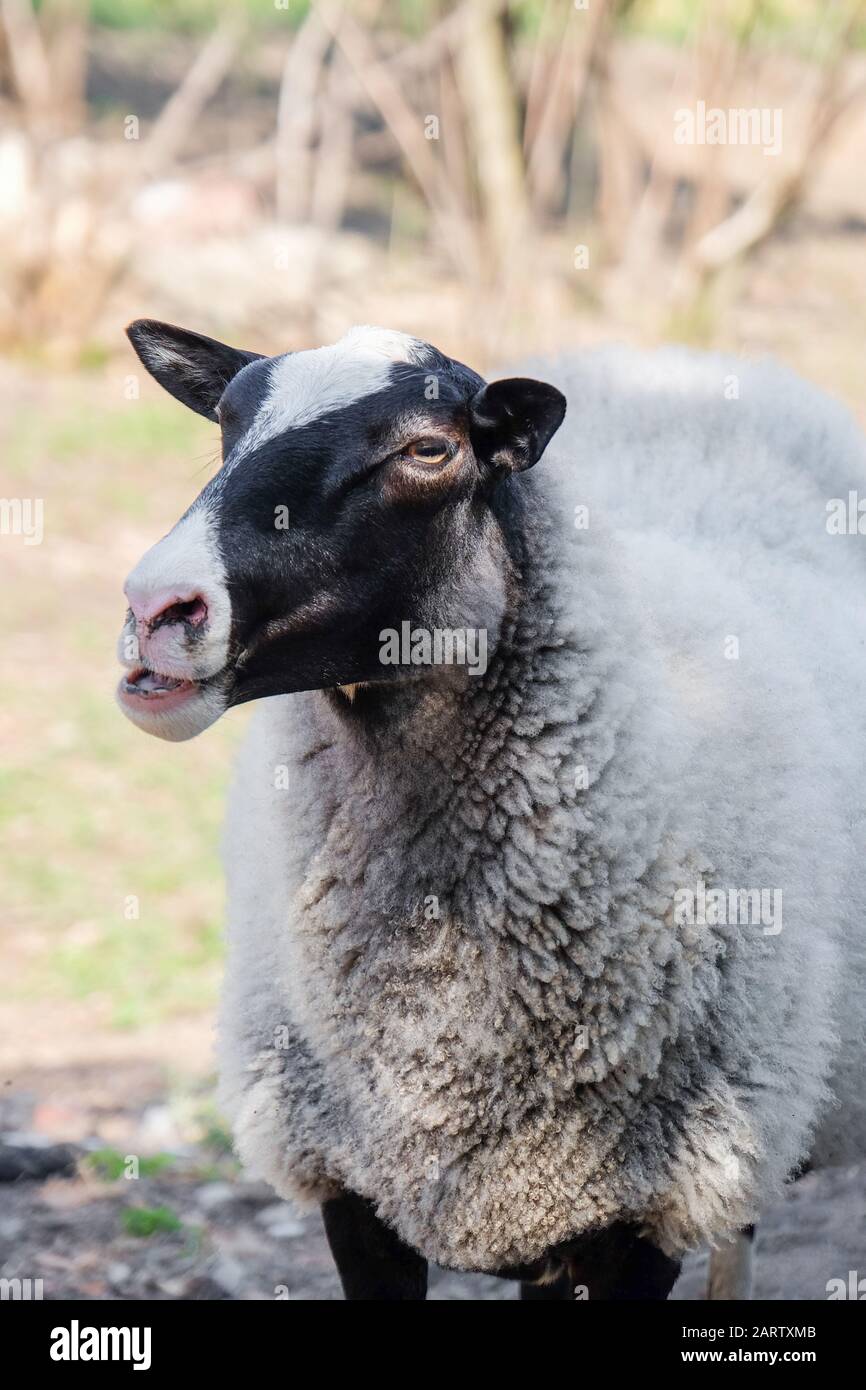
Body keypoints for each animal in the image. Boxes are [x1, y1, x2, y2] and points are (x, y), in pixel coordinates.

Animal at [117, 321, 866, 1300]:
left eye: (431, 450)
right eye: (226, 426)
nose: (154, 609)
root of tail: (695, 364)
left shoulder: (646, 1209)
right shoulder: (353, 1188)